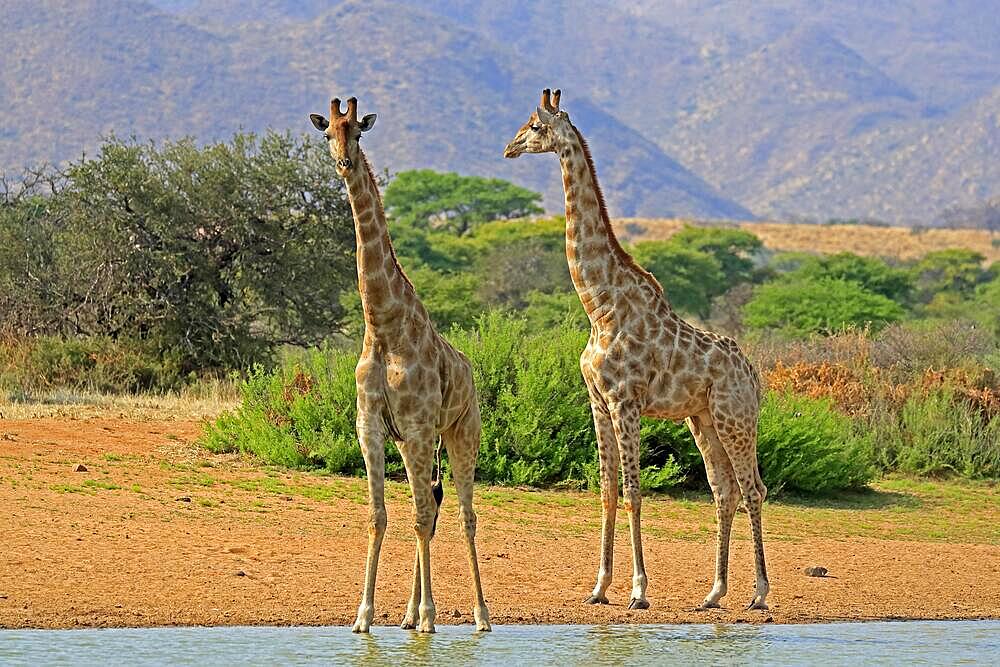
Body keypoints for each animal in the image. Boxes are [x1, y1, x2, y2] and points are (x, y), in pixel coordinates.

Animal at [306, 96, 490, 636]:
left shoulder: (418, 424)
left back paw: (478, 615)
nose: (344, 163)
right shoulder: (371, 426)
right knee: (429, 505)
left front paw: (431, 617)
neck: (384, 326)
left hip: (460, 433)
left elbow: (420, 517)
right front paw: (364, 616)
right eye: (328, 134)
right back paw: (409, 615)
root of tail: (469, 370)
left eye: (358, 133)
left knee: (460, 514)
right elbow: (379, 515)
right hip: (418, 441)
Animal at [504, 91, 768, 612]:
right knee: (724, 491)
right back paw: (714, 594)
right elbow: (607, 491)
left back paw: (760, 594)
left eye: (534, 126)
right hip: (703, 420)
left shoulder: (626, 401)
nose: (509, 148)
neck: (600, 307)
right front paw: (599, 587)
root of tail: (753, 374)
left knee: (753, 489)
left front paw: (639, 590)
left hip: (735, 417)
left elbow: (633, 492)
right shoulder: (598, 402)